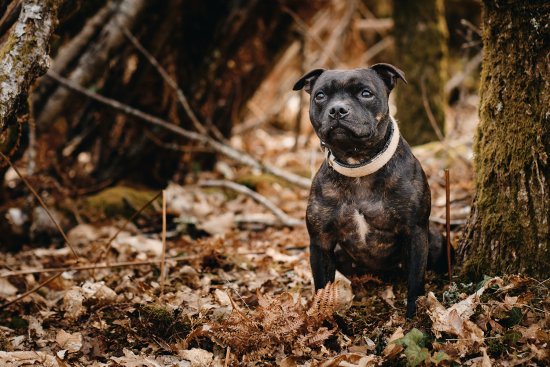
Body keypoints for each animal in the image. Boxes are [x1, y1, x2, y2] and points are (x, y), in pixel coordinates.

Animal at [296, 64, 446, 318]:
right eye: (320, 95)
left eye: (366, 93)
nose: (337, 110)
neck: (358, 166)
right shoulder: (321, 243)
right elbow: (322, 289)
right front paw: (326, 321)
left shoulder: (415, 233)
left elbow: (415, 282)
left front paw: (413, 316)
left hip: (434, 240)